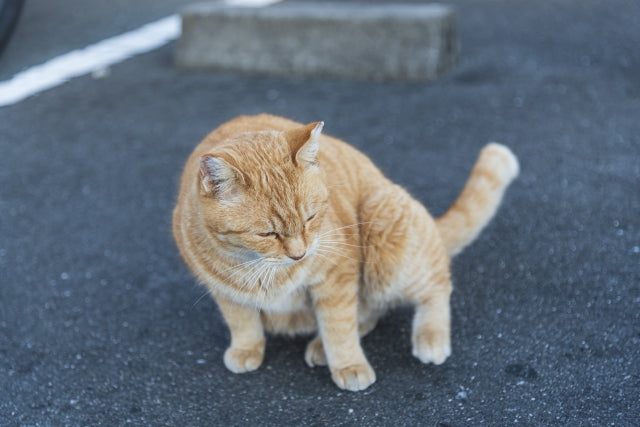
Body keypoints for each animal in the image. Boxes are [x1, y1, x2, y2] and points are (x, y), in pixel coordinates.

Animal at [174, 113, 520, 392]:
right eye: (267, 234)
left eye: (311, 218)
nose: (299, 255)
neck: (259, 267)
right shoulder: (223, 289)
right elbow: (242, 321)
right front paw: (247, 348)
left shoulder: (336, 275)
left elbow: (339, 327)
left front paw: (348, 365)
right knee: (370, 310)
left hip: (385, 236)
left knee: (434, 286)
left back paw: (430, 336)